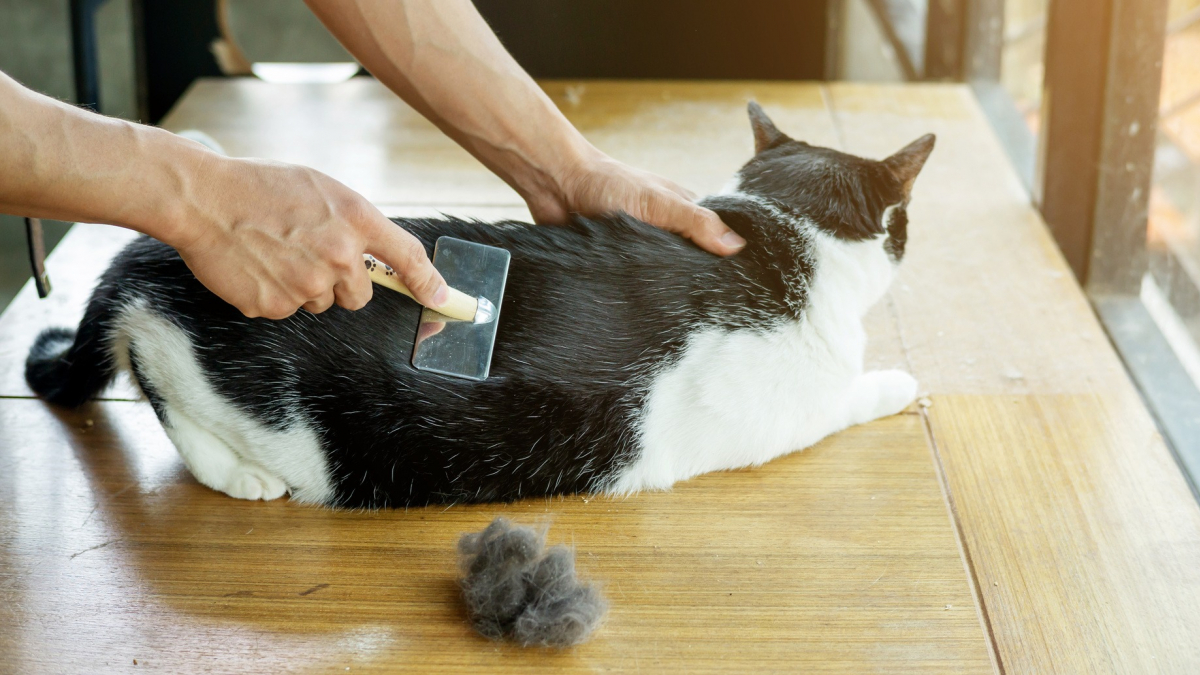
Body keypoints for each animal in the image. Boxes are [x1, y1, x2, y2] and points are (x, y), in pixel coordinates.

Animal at [23, 102, 931, 506]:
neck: (782, 231)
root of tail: (143, 253)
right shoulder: (796, 408)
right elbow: (856, 394)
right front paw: (904, 383)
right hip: (243, 395)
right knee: (168, 403)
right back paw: (241, 475)